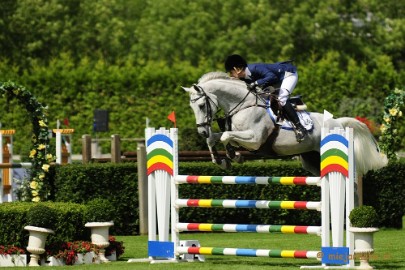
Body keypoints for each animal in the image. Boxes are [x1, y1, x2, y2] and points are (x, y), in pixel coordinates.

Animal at [181, 71, 386, 177]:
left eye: (201, 105)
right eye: (191, 107)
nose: (202, 131)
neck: (243, 105)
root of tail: (339, 122)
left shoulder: (254, 139)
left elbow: (225, 136)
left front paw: (233, 155)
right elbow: (216, 139)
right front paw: (222, 160)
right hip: (311, 159)